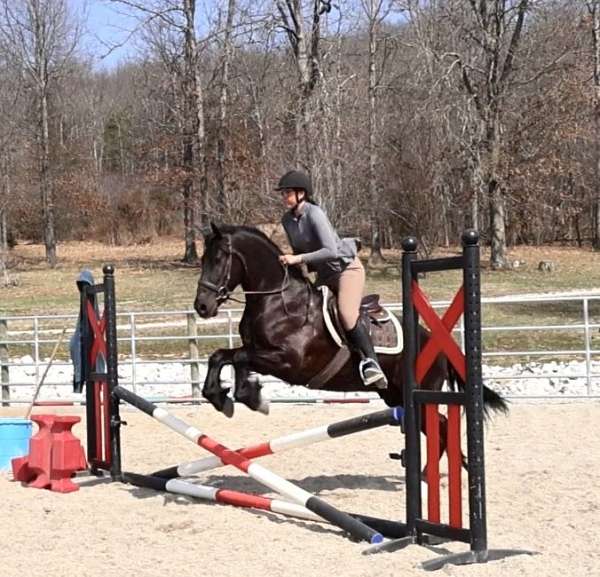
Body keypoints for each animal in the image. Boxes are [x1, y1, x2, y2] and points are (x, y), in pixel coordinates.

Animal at [193, 223, 506, 444]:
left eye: (220, 258)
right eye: (203, 258)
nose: (202, 306)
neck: (276, 300)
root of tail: (439, 344)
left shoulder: (288, 362)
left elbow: (238, 358)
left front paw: (250, 397)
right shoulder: (257, 351)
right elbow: (223, 356)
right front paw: (226, 396)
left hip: (421, 394)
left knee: (440, 427)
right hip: (395, 397)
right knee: (438, 429)